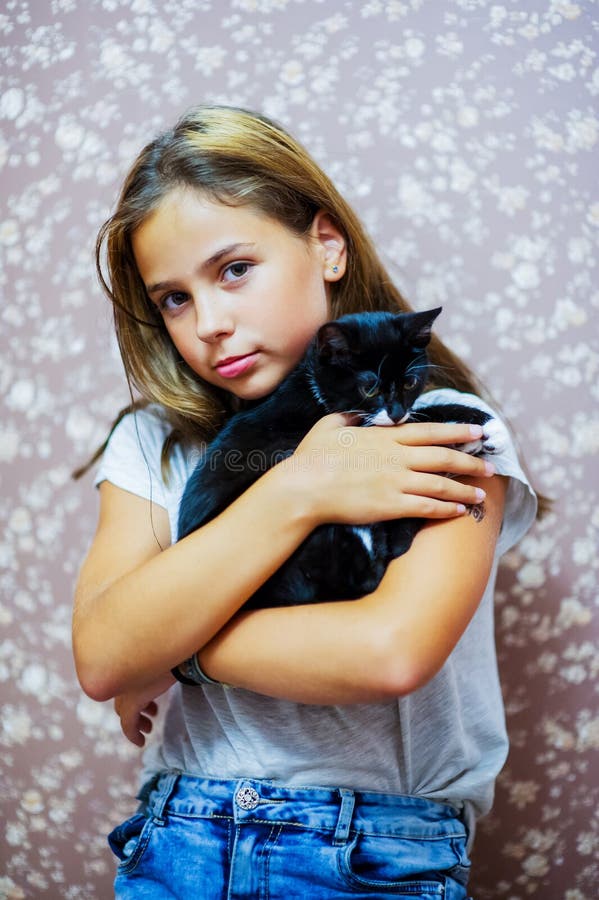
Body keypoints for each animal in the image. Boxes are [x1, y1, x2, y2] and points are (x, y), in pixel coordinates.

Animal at [176, 306, 504, 608]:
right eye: (370, 388)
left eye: (409, 383)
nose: (396, 412)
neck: (316, 389)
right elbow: (420, 422)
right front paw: (485, 428)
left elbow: (418, 414)